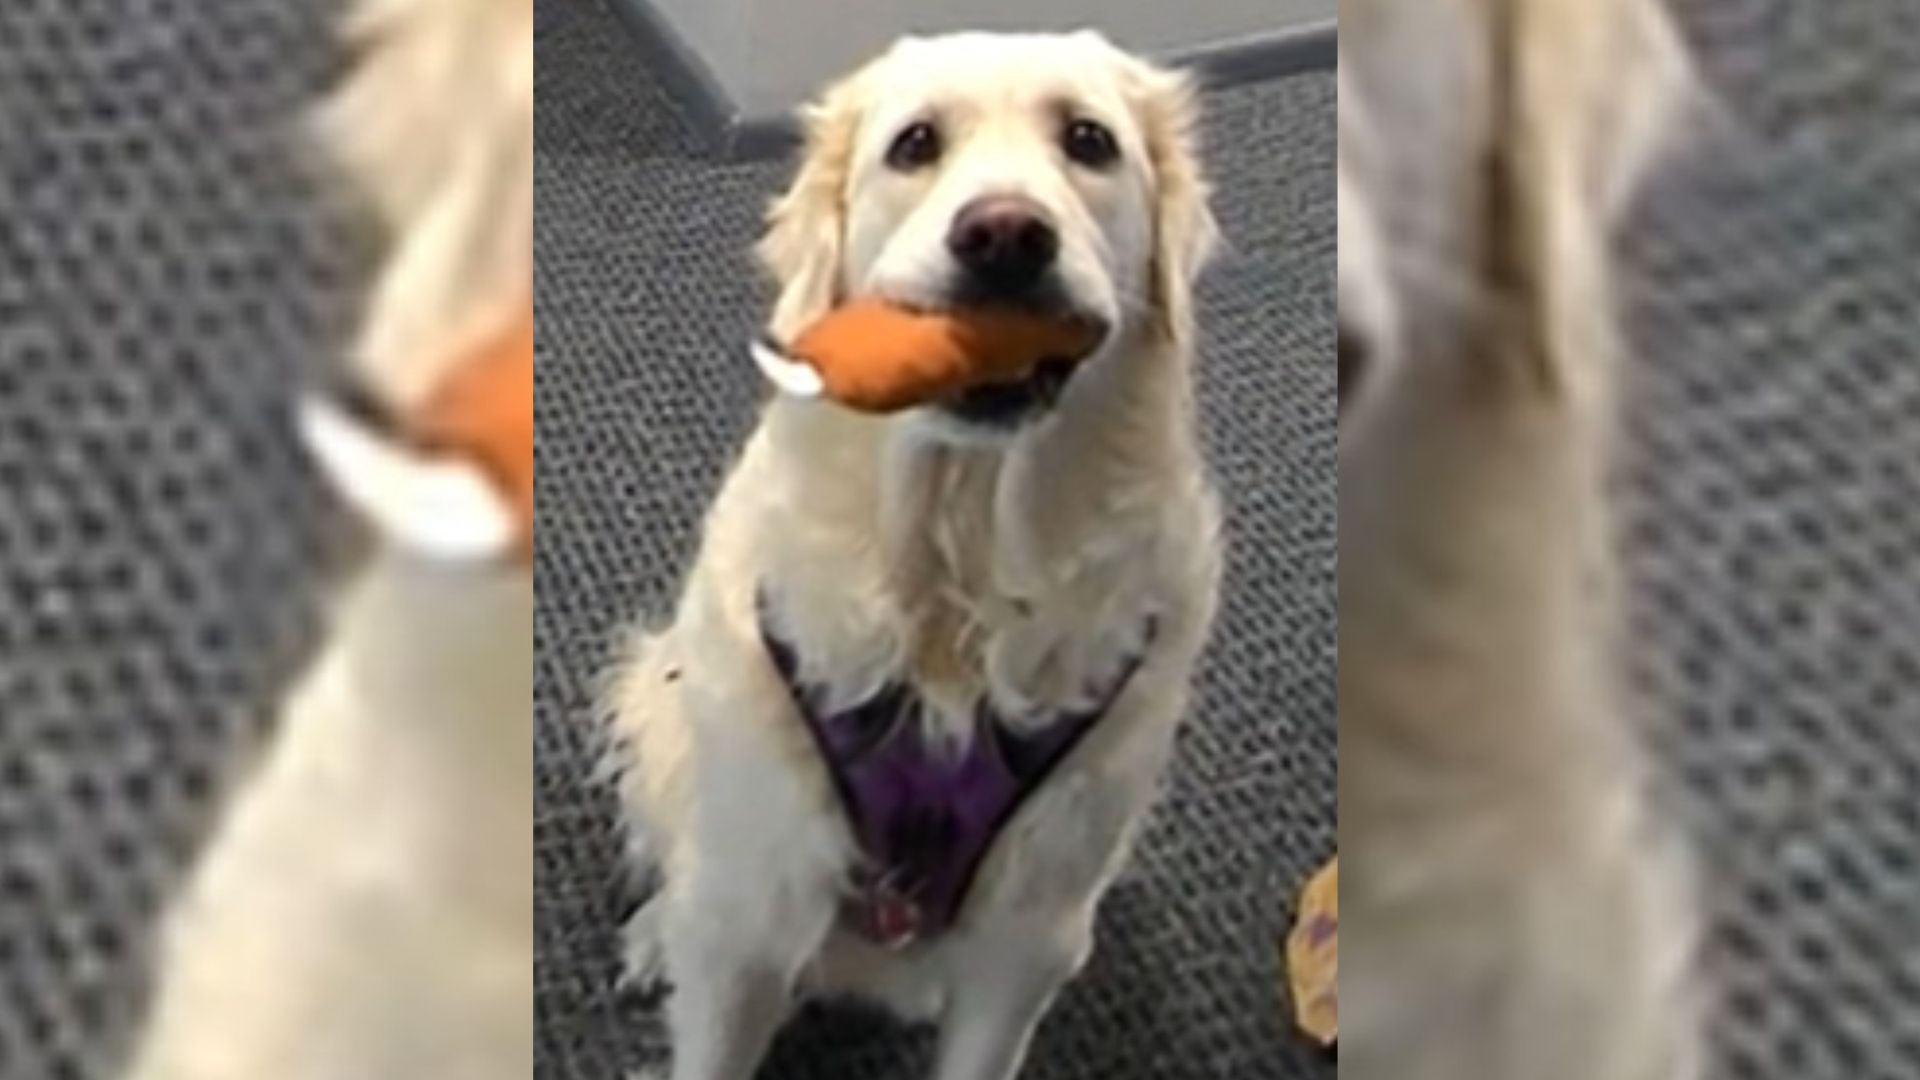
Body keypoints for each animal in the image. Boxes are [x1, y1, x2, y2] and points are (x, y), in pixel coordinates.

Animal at [606, 31, 1221, 1076]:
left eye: (1088, 141)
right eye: (917, 144)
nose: (1006, 234)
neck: (951, 564)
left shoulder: (1025, 939)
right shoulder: (756, 905)